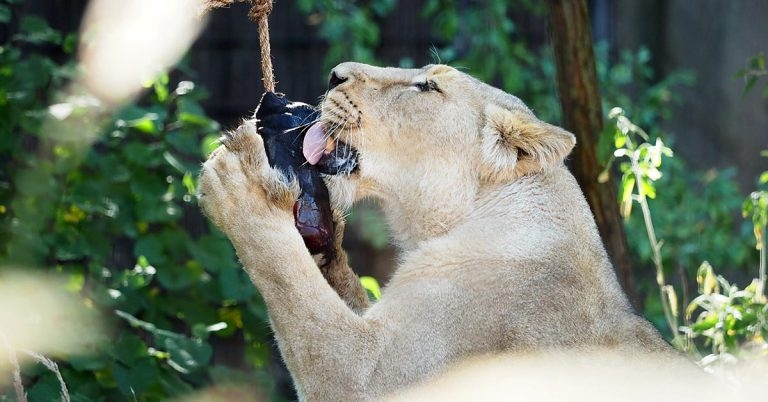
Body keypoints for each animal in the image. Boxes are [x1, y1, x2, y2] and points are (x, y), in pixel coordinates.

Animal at [197, 63, 674, 401]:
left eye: (427, 87)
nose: (334, 74)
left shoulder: (372, 377)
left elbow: (288, 279)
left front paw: (240, 180)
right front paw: (323, 235)